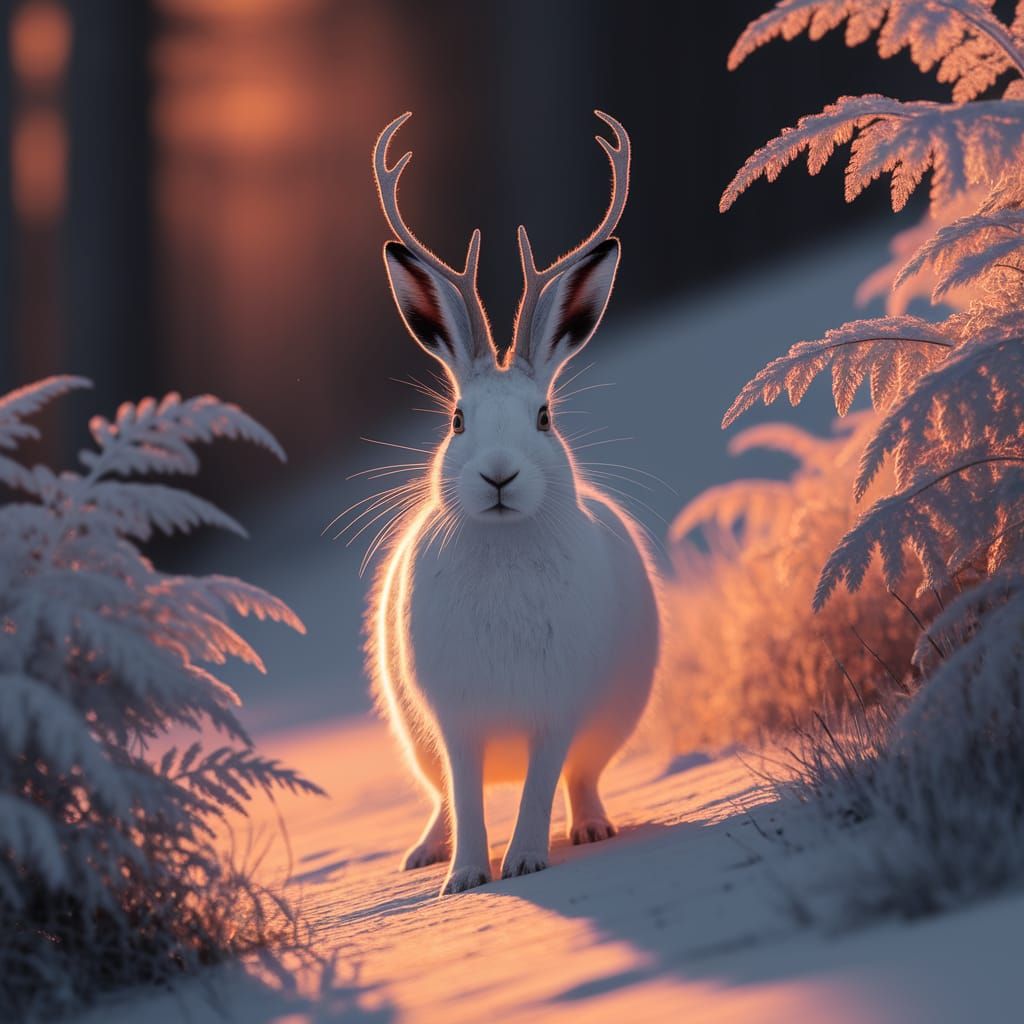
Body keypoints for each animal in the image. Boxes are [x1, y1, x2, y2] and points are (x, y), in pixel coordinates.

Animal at [365, 110, 660, 896]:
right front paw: (466, 878)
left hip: (605, 729)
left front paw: (525, 862)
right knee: (441, 798)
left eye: (544, 417)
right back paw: (423, 855)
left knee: (580, 780)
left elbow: (537, 785)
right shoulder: (454, 723)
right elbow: (468, 795)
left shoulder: (554, 714)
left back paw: (589, 829)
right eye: (457, 420)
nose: (499, 475)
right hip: (414, 740)